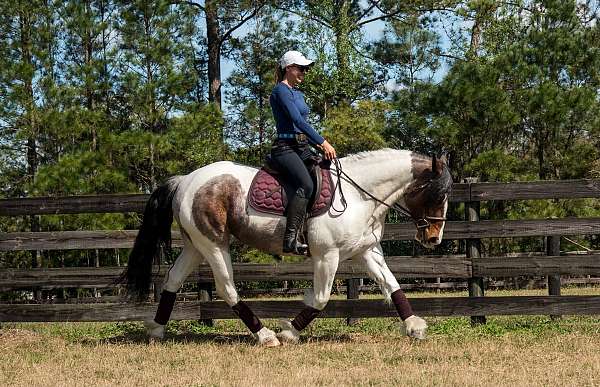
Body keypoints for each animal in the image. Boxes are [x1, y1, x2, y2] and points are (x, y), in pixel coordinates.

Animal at [123, 149, 450, 348]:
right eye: (438, 194)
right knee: (227, 288)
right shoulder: (327, 256)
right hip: (213, 244)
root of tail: (185, 180)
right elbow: (320, 298)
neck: (359, 195)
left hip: (195, 245)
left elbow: (392, 285)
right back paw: (266, 335)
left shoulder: (367, 251)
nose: (434, 239)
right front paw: (289, 331)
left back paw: (156, 330)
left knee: (173, 281)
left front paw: (414, 326)